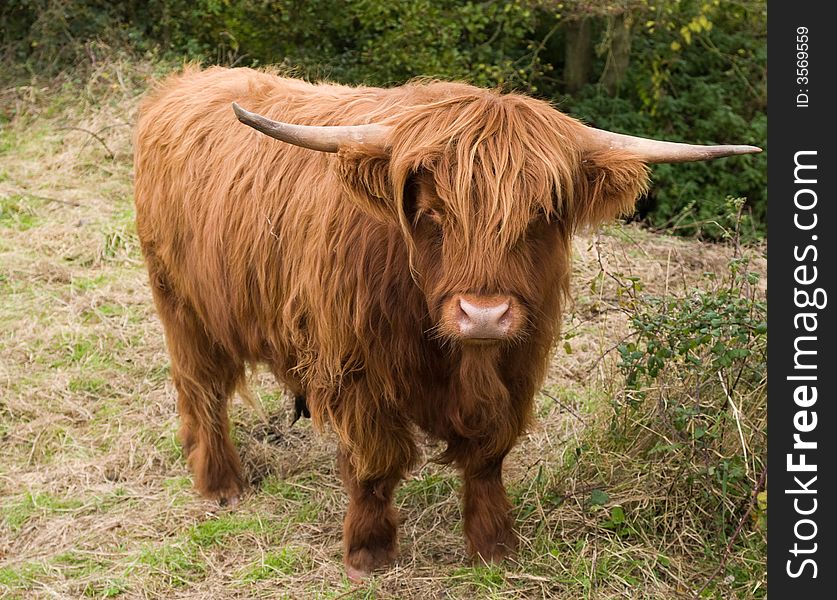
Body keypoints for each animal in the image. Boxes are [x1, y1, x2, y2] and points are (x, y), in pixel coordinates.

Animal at [134, 68, 760, 580]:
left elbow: (487, 456)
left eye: (541, 216)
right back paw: (220, 484)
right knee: (202, 388)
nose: (483, 314)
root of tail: (183, 84)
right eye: (433, 213)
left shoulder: (518, 364)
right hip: (182, 305)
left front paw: (495, 546)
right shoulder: (357, 372)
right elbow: (377, 461)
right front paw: (368, 552)